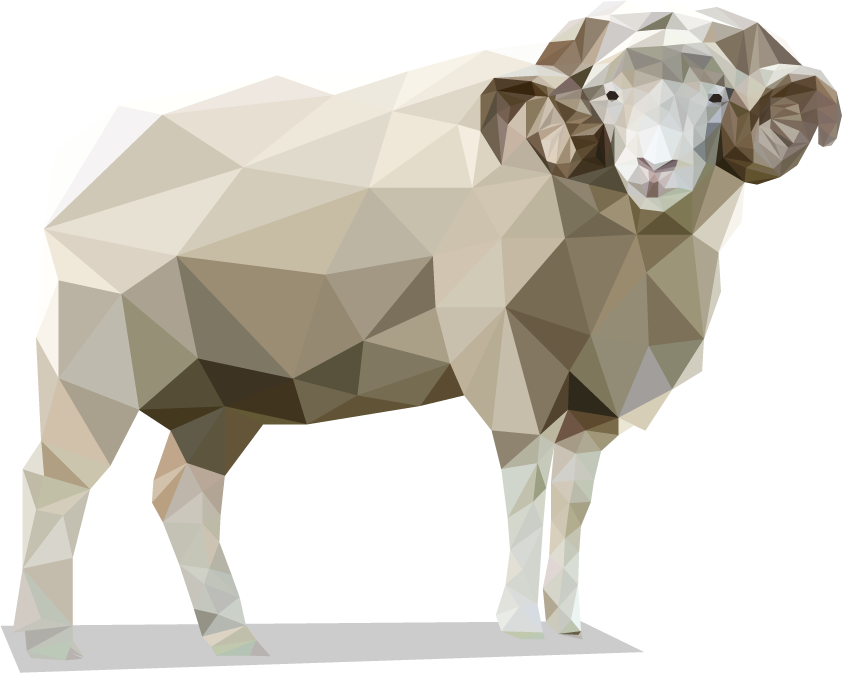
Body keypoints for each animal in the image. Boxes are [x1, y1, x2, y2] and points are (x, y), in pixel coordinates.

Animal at [17, 1, 838, 657]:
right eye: (607, 92)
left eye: (717, 92)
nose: (656, 168)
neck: (627, 257)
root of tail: (81, 151)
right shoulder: (510, 367)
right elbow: (525, 485)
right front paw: (519, 625)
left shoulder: (598, 390)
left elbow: (577, 496)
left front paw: (569, 622)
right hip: (91, 369)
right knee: (56, 481)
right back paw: (53, 642)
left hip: (220, 396)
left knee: (183, 495)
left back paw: (236, 640)